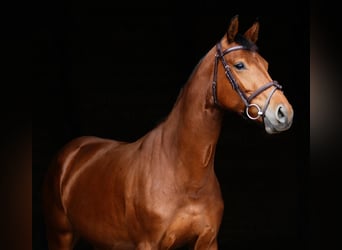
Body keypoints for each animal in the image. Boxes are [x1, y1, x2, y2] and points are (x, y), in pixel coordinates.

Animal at [42, 16, 294, 250]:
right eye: (239, 65)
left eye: (266, 64)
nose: (284, 113)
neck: (184, 174)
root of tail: (72, 152)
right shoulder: (148, 244)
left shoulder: (208, 242)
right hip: (60, 236)